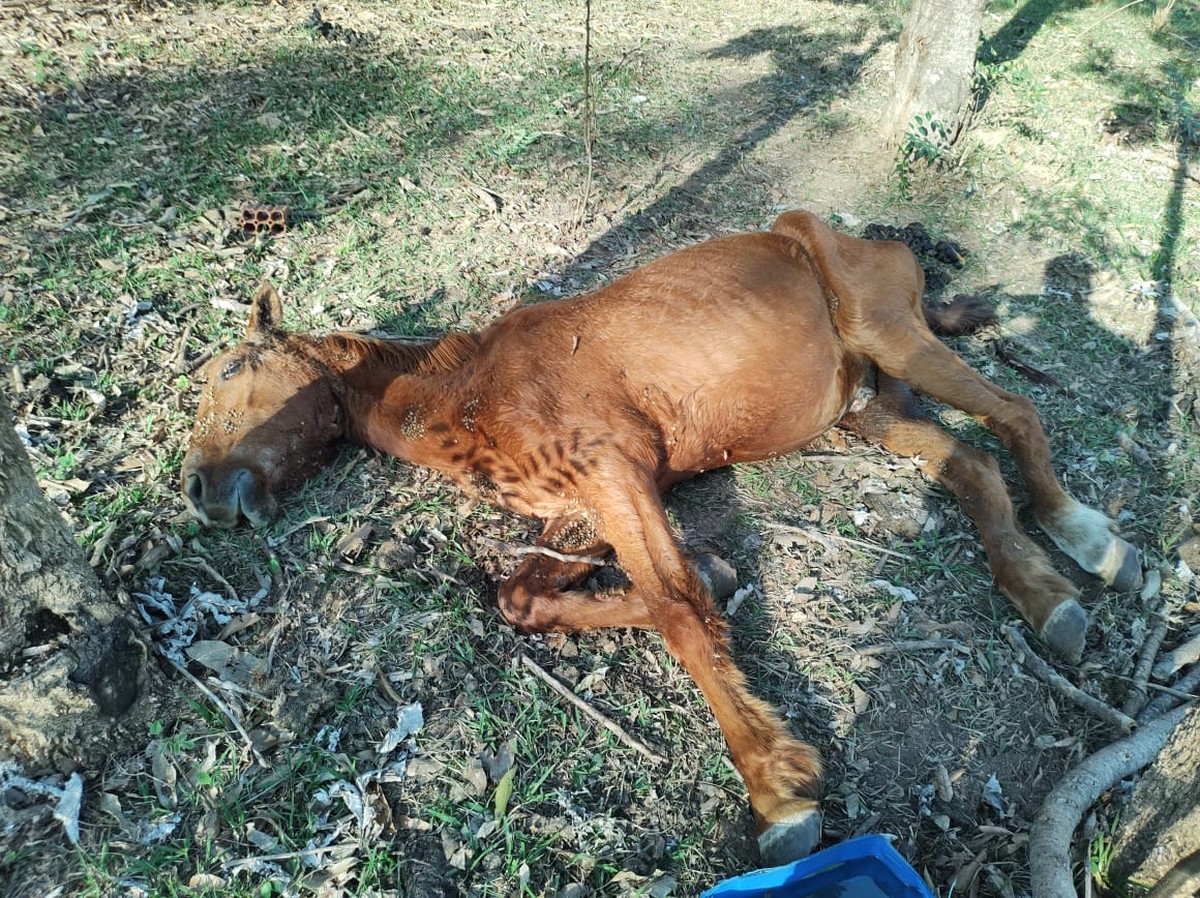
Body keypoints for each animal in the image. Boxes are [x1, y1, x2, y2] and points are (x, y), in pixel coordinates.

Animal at [180, 212, 1142, 869]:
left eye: (231, 371)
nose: (200, 496)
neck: (471, 393)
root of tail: (850, 235)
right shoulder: (582, 507)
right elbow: (527, 599)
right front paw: (716, 578)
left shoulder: (615, 474)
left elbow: (675, 611)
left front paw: (777, 790)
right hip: (871, 408)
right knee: (972, 466)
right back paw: (1049, 596)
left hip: (893, 339)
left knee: (1014, 413)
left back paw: (1088, 539)